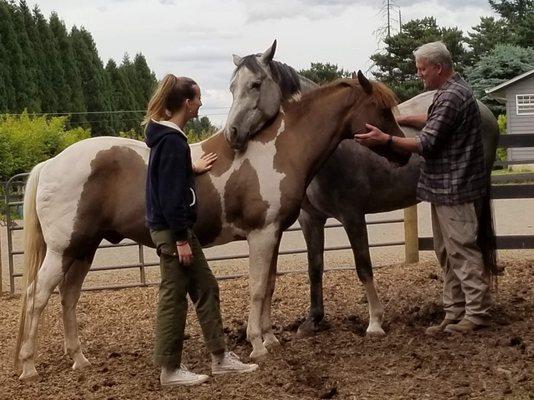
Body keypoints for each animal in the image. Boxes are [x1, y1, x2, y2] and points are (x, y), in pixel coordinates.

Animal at [14, 72, 408, 382]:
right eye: (382, 109)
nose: (402, 152)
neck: (279, 150)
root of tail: (49, 164)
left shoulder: (274, 235)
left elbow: (268, 285)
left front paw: (269, 337)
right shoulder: (262, 234)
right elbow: (256, 289)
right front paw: (257, 345)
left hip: (84, 248)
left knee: (68, 296)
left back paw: (79, 360)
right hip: (64, 248)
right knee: (36, 295)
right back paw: (29, 366)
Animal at [224, 41, 500, 338]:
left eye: (255, 84)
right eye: (232, 87)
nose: (232, 133)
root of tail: (483, 109)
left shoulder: (352, 215)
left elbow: (364, 266)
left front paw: (375, 322)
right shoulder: (310, 219)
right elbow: (315, 267)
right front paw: (313, 320)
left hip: (475, 199)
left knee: (473, 249)